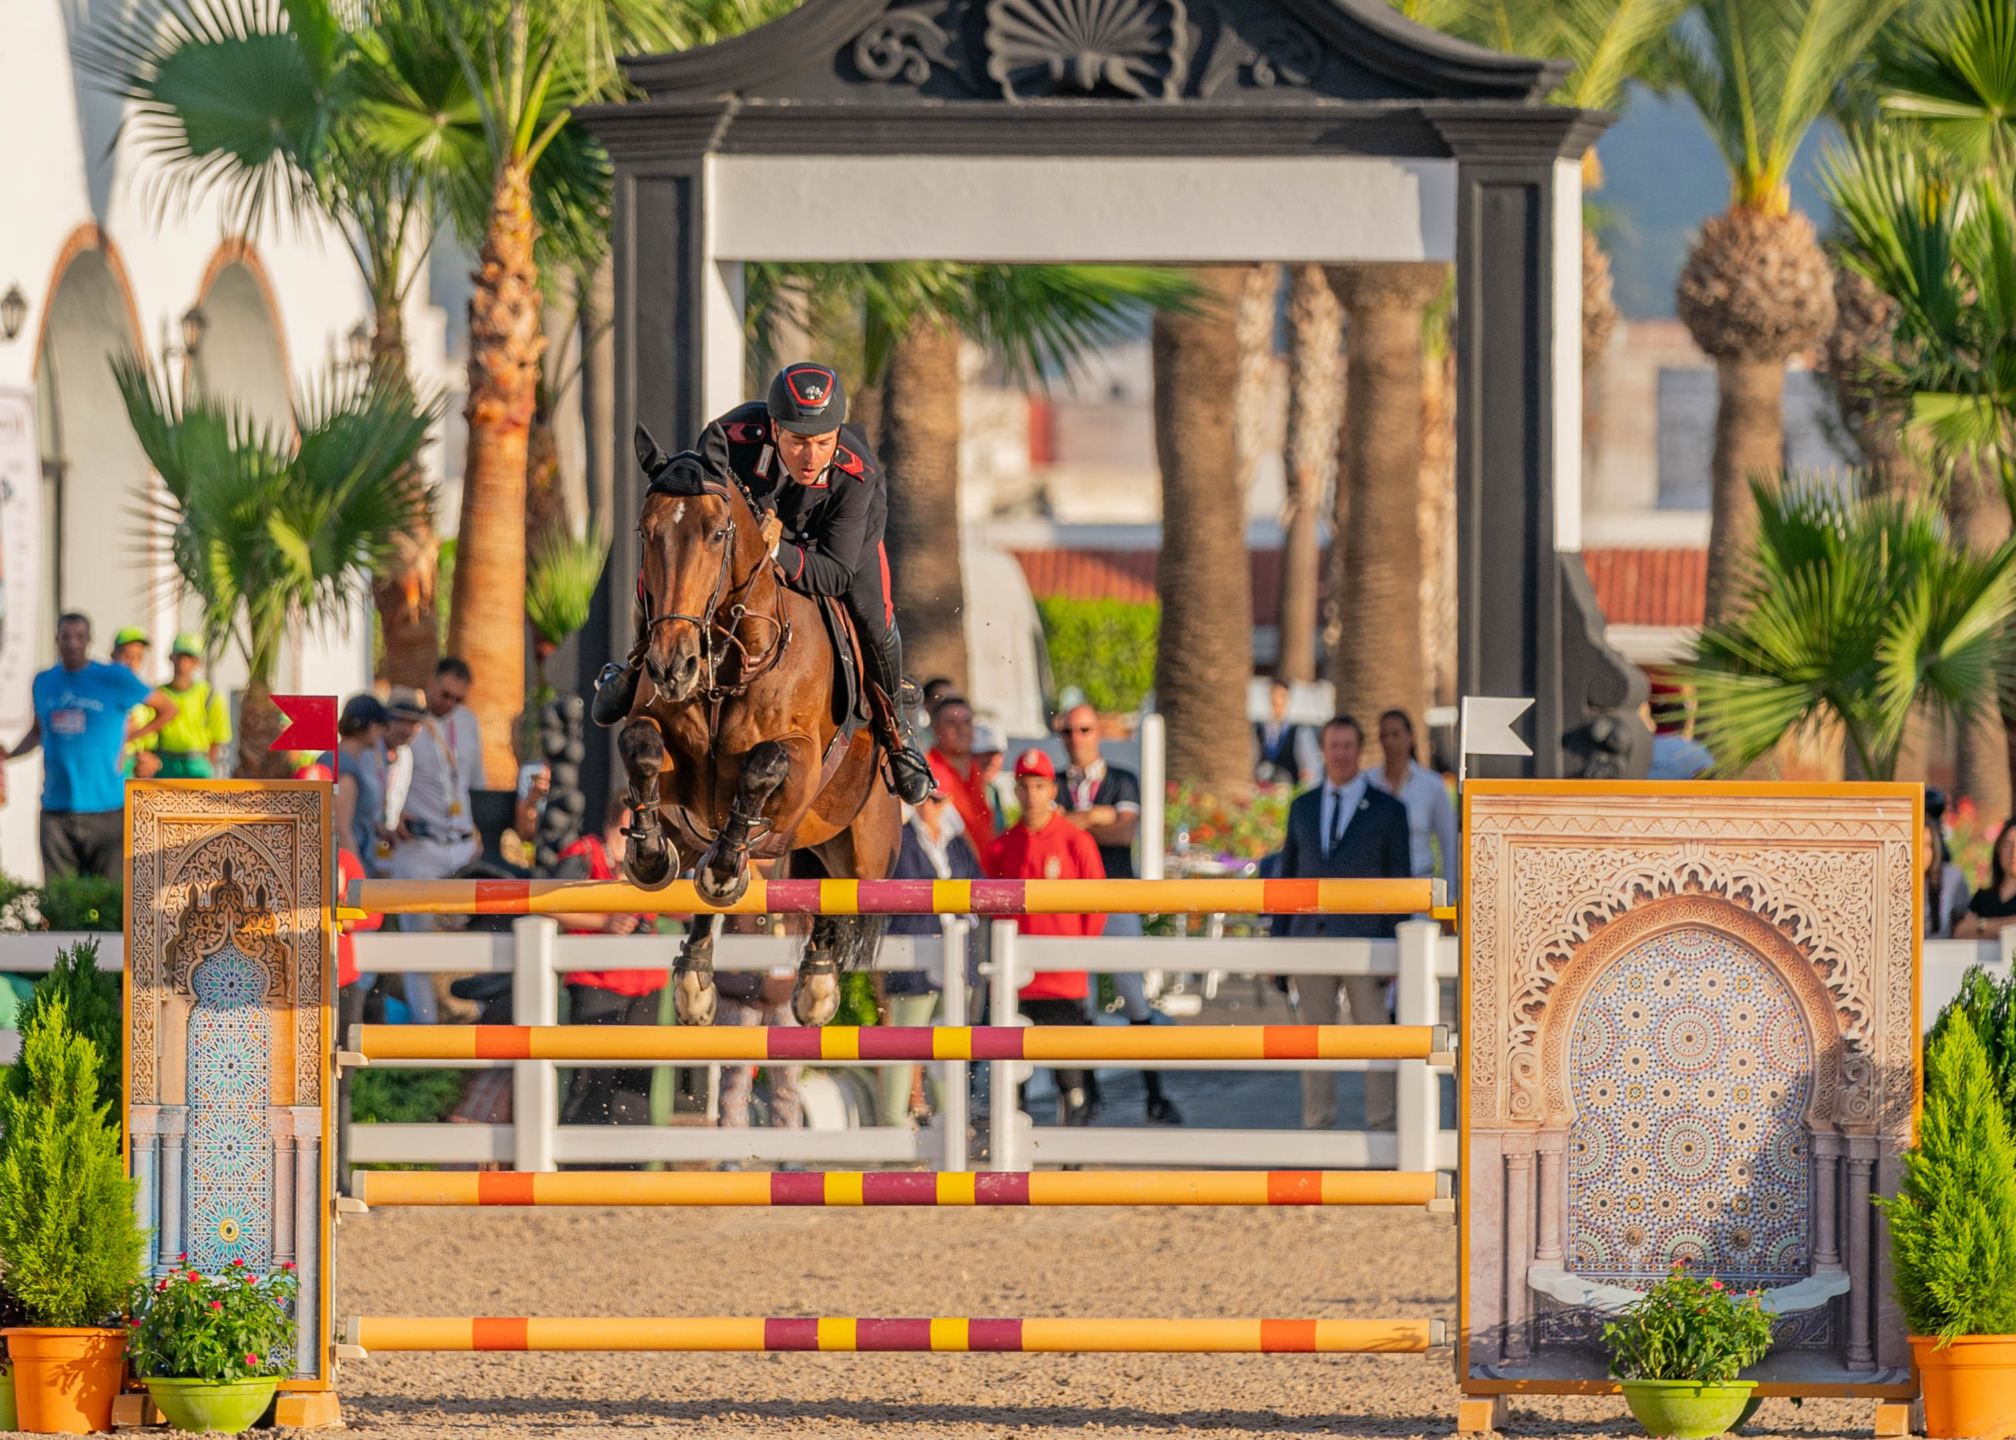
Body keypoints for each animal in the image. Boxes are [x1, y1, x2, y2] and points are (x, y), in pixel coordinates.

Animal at [608, 421, 903, 1024]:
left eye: (718, 533)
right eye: (645, 532)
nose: (672, 666)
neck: (727, 662)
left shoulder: (799, 766)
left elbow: (763, 767)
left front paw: (726, 870)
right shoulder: (677, 774)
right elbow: (641, 745)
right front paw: (647, 856)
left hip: (867, 854)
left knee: (838, 894)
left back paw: (817, 985)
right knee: (703, 882)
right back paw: (695, 978)